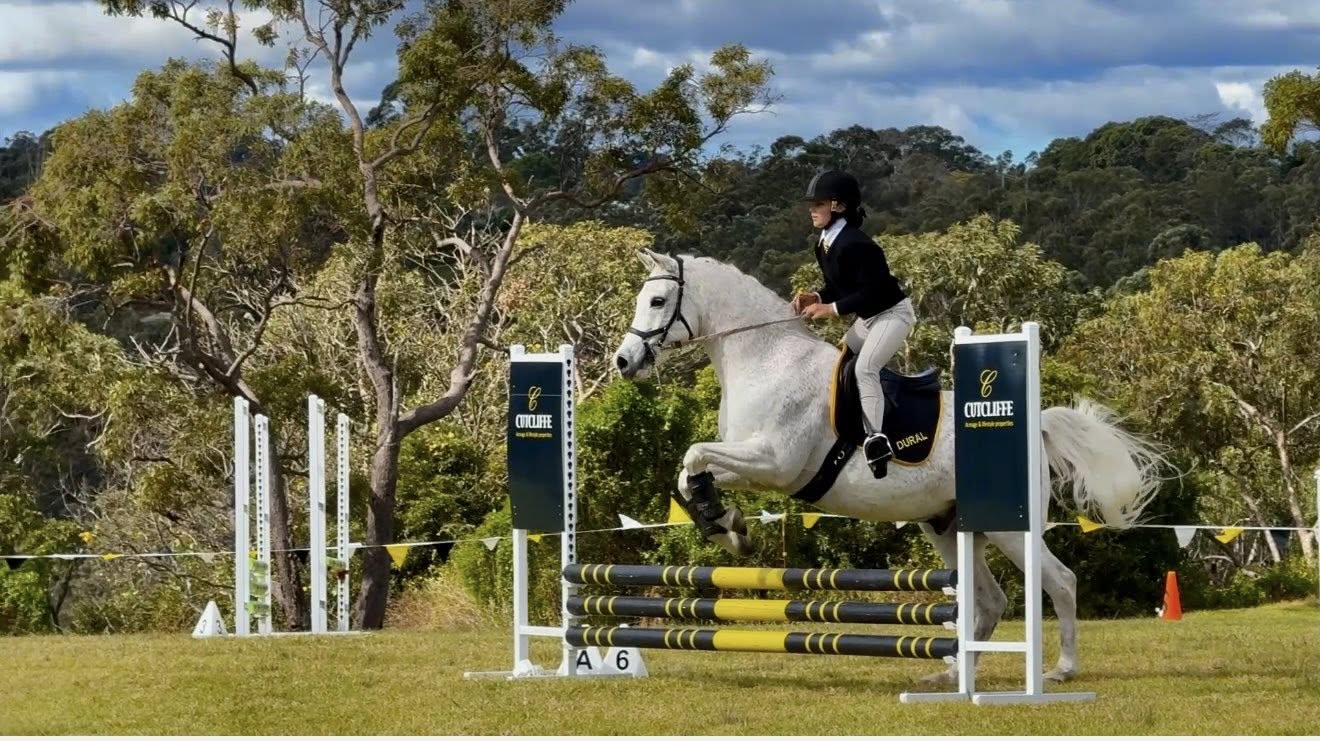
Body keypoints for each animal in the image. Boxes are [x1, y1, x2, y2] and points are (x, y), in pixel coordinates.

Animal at [611, 248, 1165, 685]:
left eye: (657, 302)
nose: (623, 361)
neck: (765, 359)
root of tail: (1036, 429)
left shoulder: (773, 461)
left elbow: (694, 455)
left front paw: (727, 526)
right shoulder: (750, 461)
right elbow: (690, 471)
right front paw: (726, 525)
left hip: (1010, 528)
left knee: (1060, 581)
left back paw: (1060, 671)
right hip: (948, 528)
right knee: (989, 601)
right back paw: (950, 675)